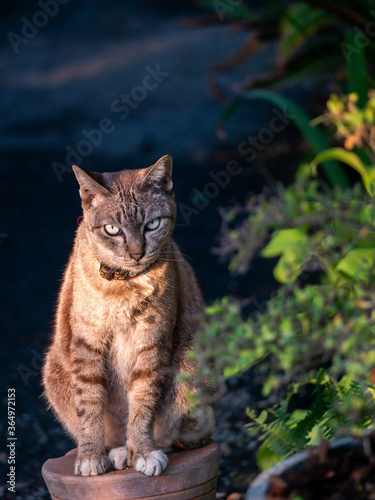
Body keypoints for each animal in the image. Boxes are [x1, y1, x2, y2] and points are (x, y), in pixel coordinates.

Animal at [41, 155, 214, 476]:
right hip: (53, 366)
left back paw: (135, 450)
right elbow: (89, 407)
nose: (136, 253)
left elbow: (143, 403)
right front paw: (90, 455)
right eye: (112, 229)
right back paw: (117, 450)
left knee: (187, 436)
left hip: (192, 360)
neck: (123, 283)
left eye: (152, 224)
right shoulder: (87, 344)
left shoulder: (152, 342)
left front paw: (142, 451)